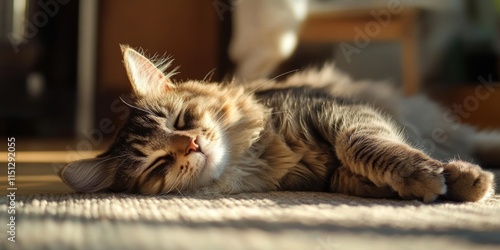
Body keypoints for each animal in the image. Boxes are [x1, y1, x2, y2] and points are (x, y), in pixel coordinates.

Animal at [57, 44, 496, 201]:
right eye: (157, 163)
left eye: (182, 120)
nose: (191, 145)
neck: (254, 155)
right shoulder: (329, 174)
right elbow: (361, 171)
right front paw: (440, 181)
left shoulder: (342, 114)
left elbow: (362, 145)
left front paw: (453, 177)